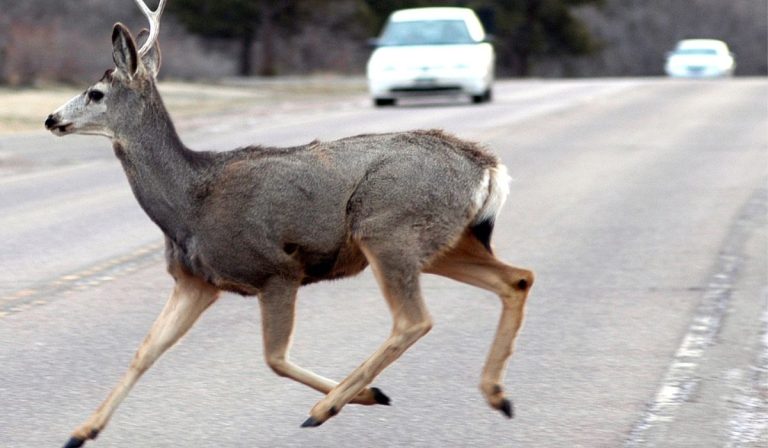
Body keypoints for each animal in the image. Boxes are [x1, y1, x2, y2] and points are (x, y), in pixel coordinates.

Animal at [44, 1, 534, 447]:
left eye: (95, 93)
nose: (51, 118)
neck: (188, 205)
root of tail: (486, 166)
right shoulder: (195, 281)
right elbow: (144, 351)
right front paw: (81, 432)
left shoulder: (275, 270)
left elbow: (274, 358)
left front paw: (366, 395)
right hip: (443, 241)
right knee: (517, 278)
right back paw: (496, 394)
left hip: (387, 228)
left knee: (413, 319)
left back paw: (326, 407)